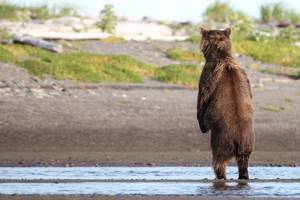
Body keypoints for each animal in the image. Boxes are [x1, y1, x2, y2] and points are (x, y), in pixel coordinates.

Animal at [197, 27, 255, 180]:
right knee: (243, 161)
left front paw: (202, 125)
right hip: (248, 142)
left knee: (219, 159)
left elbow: (203, 97)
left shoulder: (208, 74)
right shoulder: (244, 76)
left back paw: (220, 176)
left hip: (221, 139)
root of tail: (238, 140)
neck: (222, 56)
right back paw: (243, 175)